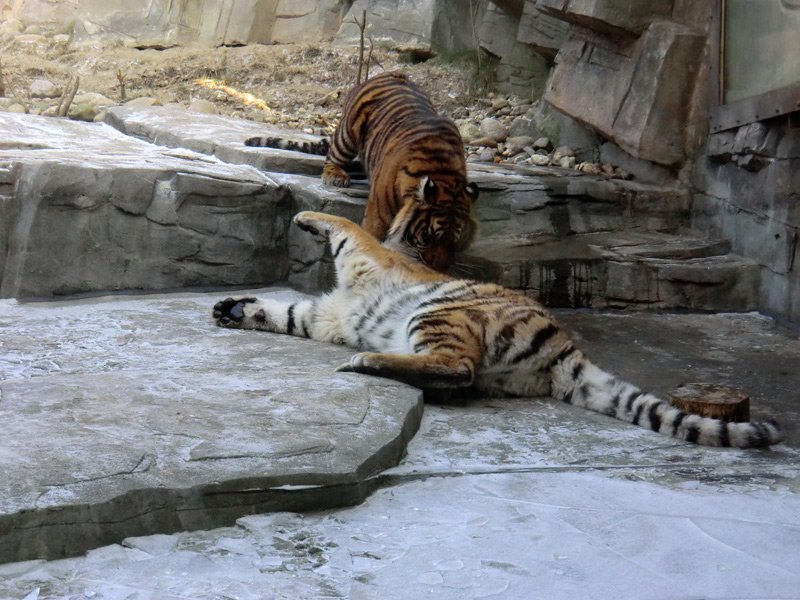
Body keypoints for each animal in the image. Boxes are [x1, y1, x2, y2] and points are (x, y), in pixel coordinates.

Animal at [212, 211, 780, 450]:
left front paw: (304, 215)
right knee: (458, 376)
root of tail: (565, 348)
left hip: (439, 313)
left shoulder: (367, 256)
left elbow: (345, 224)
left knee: (457, 368)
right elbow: (283, 312)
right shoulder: (324, 316)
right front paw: (234, 308)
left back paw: (366, 361)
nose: (225, 306)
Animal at [244, 71, 478, 274]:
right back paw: (336, 176)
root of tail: (391, 73)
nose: (437, 269)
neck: (444, 175)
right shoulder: (378, 217)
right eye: (429, 238)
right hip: (347, 134)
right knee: (331, 157)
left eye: (455, 243)